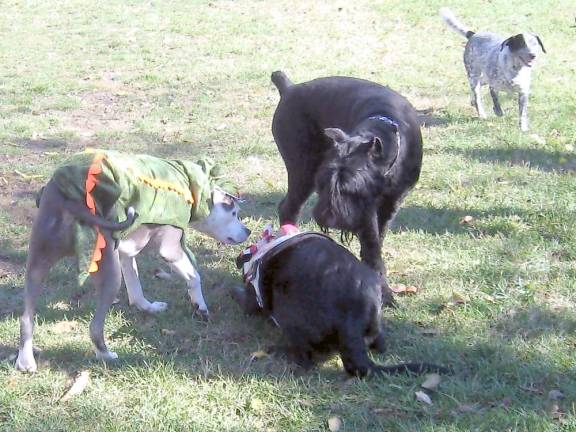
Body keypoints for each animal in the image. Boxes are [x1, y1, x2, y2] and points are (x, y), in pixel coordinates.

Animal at [234, 233, 450, 378]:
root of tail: (351, 320)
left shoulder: (251, 300)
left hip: (287, 312)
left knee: (305, 359)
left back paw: (281, 352)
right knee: (380, 344)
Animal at [270, 71, 424, 304]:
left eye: (351, 187)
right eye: (323, 184)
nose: (327, 218)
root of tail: (289, 88)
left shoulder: (389, 202)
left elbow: (377, 239)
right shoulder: (366, 211)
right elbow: (372, 245)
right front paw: (384, 290)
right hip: (303, 170)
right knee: (289, 207)